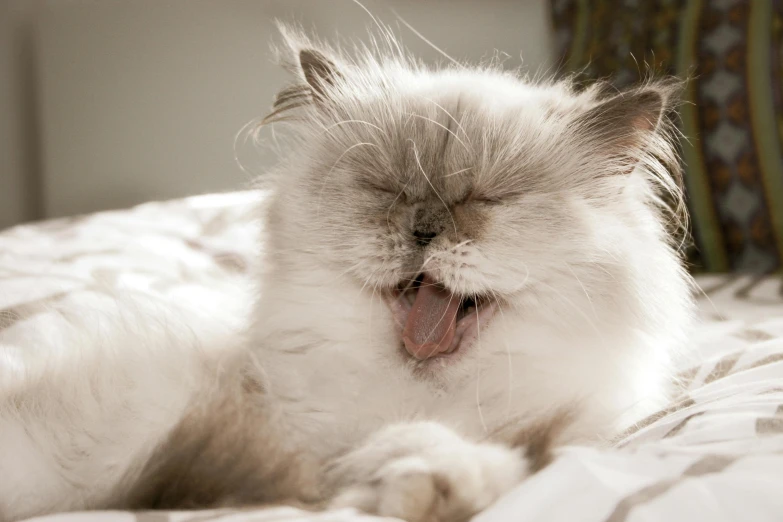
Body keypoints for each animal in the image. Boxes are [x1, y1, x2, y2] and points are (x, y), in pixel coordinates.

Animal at [1, 22, 700, 520]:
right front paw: (411, 482)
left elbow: (481, 460)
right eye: (387, 189)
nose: (424, 227)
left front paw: (430, 484)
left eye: (485, 199)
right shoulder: (285, 438)